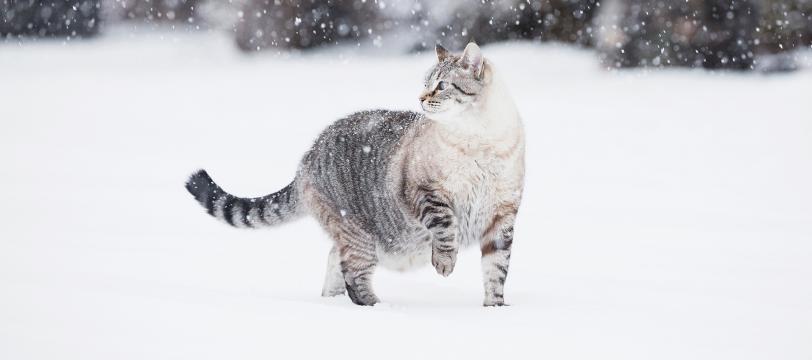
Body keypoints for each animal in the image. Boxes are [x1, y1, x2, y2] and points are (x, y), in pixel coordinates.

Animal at [186, 43, 524, 306]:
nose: (420, 98)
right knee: (354, 277)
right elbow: (445, 230)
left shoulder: (502, 217)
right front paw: (444, 264)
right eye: (426, 82)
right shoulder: (427, 195)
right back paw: (377, 308)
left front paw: (495, 310)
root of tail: (307, 158)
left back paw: (332, 301)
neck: (481, 142)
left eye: (441, 85)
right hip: (359, 236)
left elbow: (496, 271)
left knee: (334, 261)